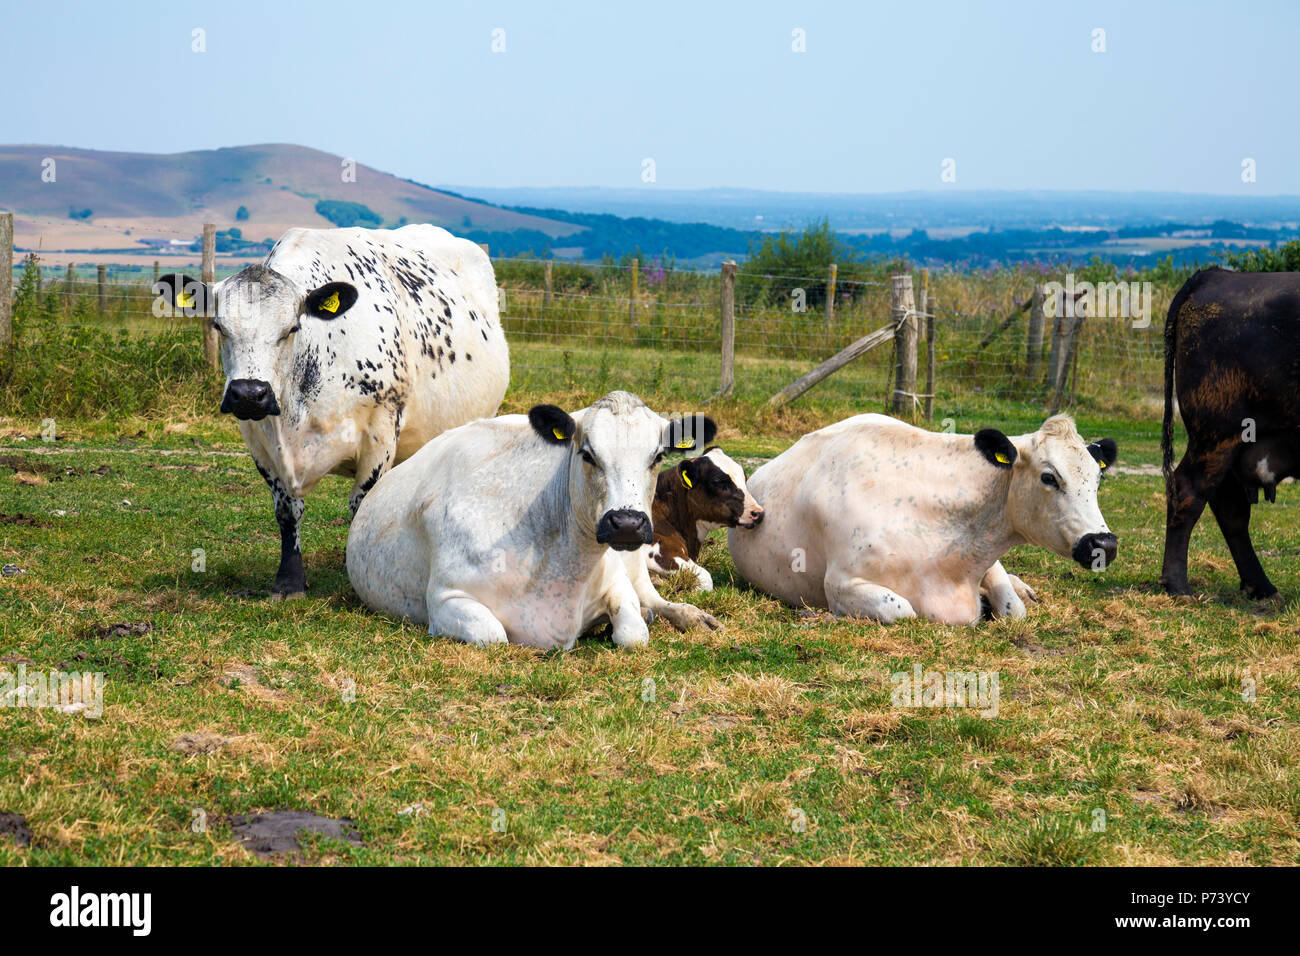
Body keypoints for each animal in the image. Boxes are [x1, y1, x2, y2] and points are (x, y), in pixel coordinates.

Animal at [156, 224, 509, 600]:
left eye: (291, 329)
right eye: (219, 327)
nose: (250, 394)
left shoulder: (380, 431)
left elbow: (361, 507)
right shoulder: (257, 439)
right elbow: (288, 511)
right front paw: (289, 580)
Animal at [345, 391, 720, 650]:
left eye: (657, 457)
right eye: (587, 454)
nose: (627, 522)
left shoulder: (617, 581)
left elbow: (633, 635)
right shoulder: (445, 597)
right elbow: (494, 636)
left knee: (654, 599)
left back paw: (691, 615)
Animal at [727, 414, 1118, 625]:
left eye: (1098, 480)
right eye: (1049, 477)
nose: (1104, 543)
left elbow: (1014, 609)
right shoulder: (840, 583)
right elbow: (902, 609)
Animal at [1160, 267, 1300, 600]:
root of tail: (1216, 275)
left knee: (1229, 508)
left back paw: (1261, 586)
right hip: (1217, 436)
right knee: (1188, 491)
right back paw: (1178, 586)